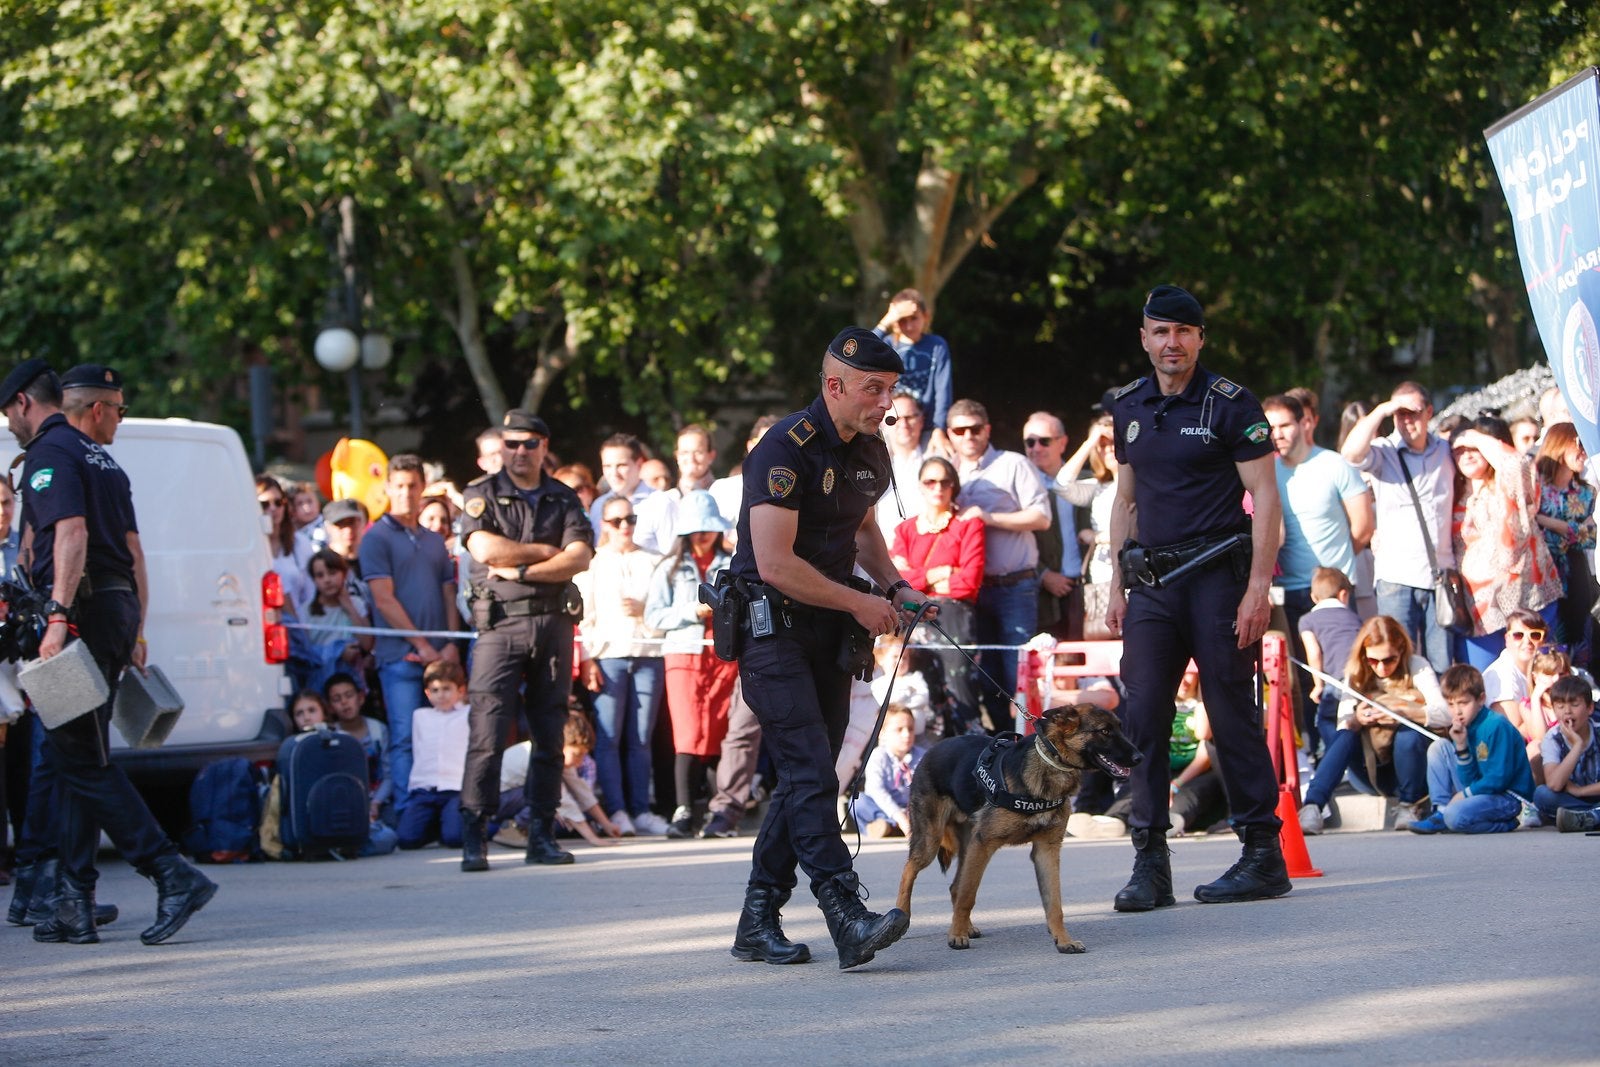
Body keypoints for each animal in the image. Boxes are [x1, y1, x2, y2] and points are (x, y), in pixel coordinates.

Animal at [896, 703, 1145, 953]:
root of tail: (932, 749)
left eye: (1120, 728)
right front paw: (955, 935)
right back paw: (902, 915)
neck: (1050, 762)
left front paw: (1063, 939)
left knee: (956, 886)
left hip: (967, 847)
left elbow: (1054, 903)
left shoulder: (1046, 850)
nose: (1140, 757)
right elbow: (968, 895)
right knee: (911, 870)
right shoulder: (984, 844)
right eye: (1105, 731)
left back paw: (967, 927)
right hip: (932, 841)